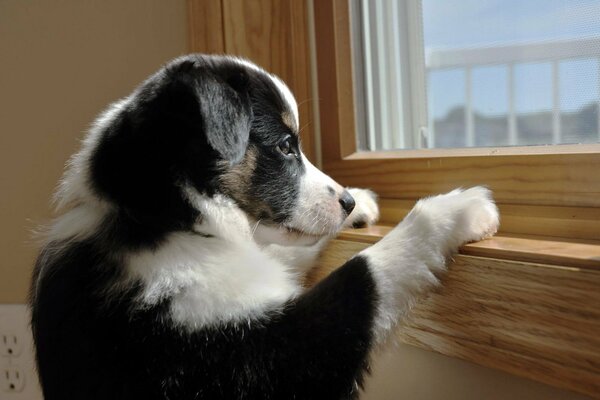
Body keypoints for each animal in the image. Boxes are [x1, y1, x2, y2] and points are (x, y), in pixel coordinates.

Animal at [30, 54, 500, 400]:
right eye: (285, 145)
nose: (347, 202)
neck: (166, 220)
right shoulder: (260, 358)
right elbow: (366, 272)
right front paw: (460, 208)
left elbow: (285, 248)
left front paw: (362, 202)